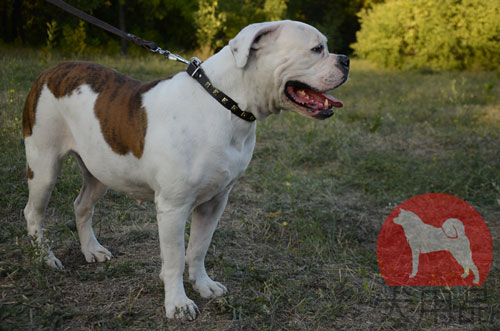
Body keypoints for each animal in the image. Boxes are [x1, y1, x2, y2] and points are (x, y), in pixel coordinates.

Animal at [22, 20, 348, 320]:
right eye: (316, 49)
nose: (345, 60)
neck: (226, 104)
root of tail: (51, 70)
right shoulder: (173, 208)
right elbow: (176, 257)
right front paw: (177, 303)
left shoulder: (215, 202)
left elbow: (199, 248)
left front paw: (203, 285)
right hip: (44, 165)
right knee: (33, 212)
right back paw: (45, 258)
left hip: (100, 169)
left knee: (81, 205)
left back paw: (91, 250)